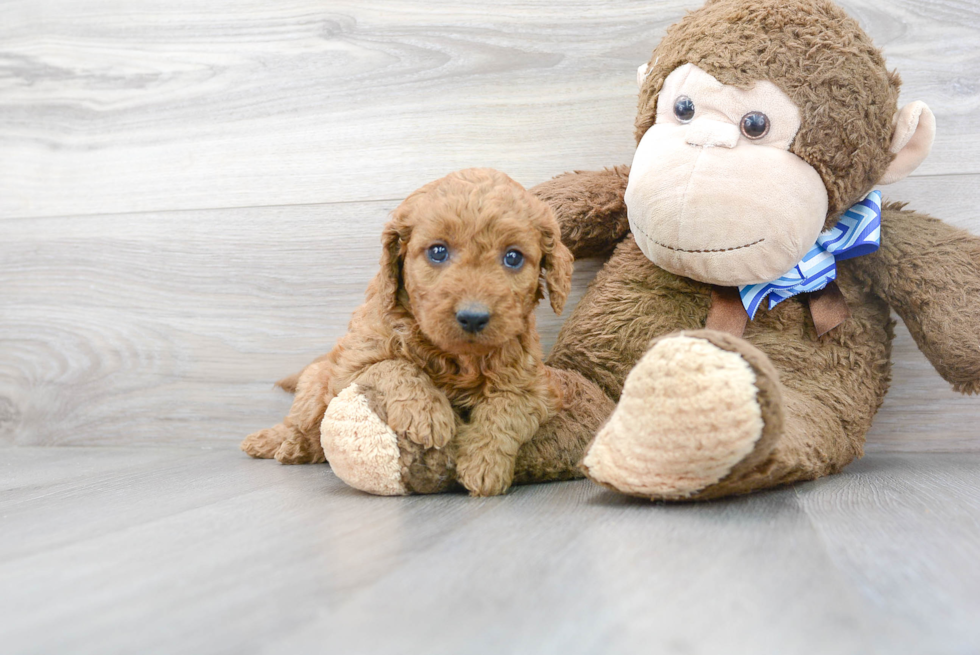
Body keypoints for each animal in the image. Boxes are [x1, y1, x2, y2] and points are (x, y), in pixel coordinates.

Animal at [239, 169, 576, 498]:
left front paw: (484, 462)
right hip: (315, 384)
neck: (458, 357)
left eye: (513, 257)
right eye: (438, 252)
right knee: (299, 423)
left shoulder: (536, 385)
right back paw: (277, 443)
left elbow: (508, 407)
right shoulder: (351, 366)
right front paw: (427, 413)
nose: (473, 317)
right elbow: (393, 365)